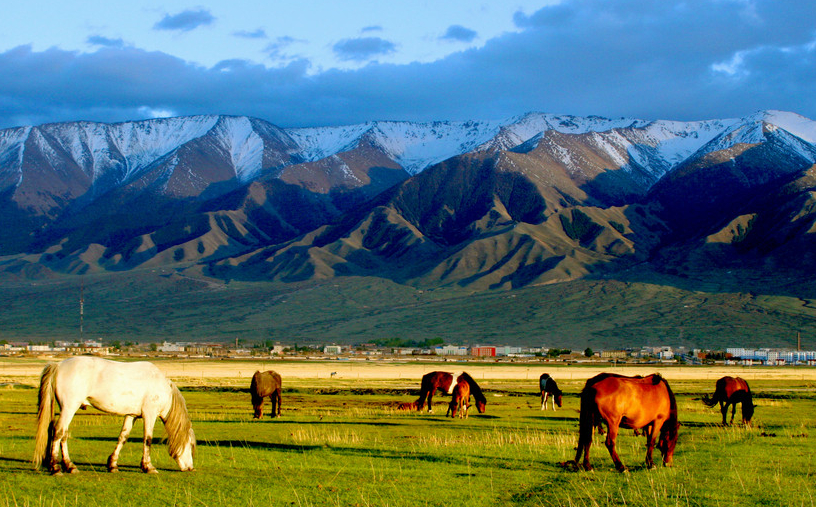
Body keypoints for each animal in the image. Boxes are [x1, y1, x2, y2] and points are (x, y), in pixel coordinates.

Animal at [34, 358, 197, 476]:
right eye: (190, 445)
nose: (190, 468)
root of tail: (58, 365)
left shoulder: (131, 415)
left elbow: (122, 437)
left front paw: (112, 464)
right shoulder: (149, 414)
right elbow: (148, 439)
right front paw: (148, 466)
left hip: (67, 409)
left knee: (64, 434)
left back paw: (70, 466)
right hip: (69, 407)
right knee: (58, 432)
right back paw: (55, 468)